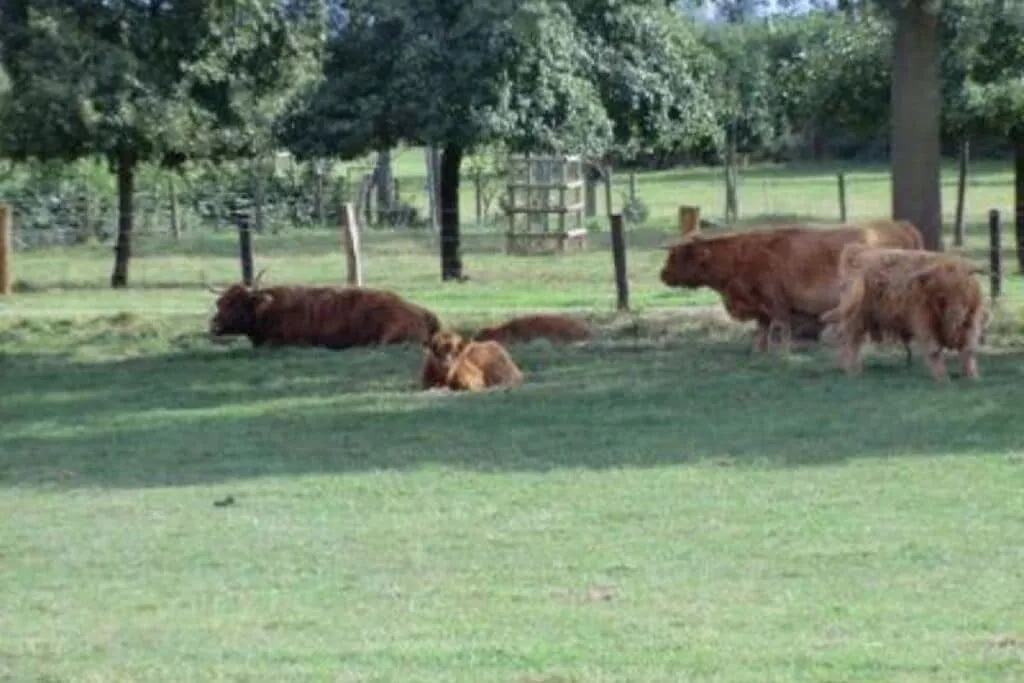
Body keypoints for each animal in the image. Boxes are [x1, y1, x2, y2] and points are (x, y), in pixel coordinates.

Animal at [819, 244, 987, 385]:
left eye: (964, 288)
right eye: (941, 294)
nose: (956, 314)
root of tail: (857, 252)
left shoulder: (971, 322)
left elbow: (969, 349)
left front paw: (972, 376)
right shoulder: (924, 323)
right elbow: (934, 350)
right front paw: (943, 378)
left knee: (849, 340)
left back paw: (849, 368)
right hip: (855, 318)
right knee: (850, 341)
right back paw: (852, 371)